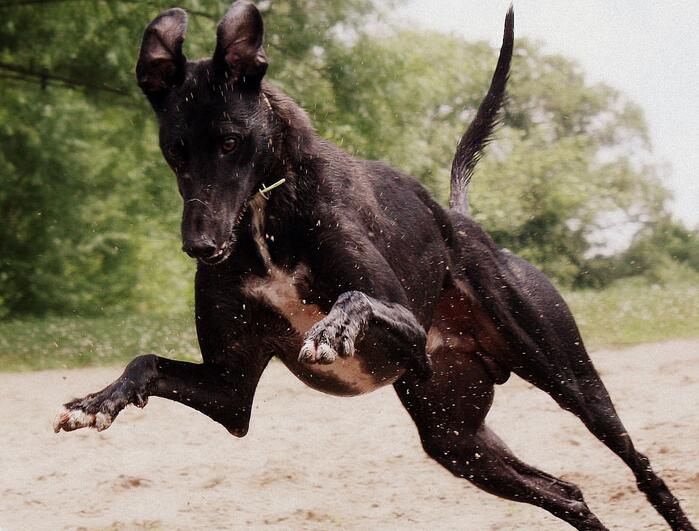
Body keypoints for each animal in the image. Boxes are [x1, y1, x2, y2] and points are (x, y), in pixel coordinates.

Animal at [54, 3, 695, 529]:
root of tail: (463, 223)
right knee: (569, 493)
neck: (266, 216)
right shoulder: (229, 394)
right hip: (455, 439)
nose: (202, 246)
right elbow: (146, 362)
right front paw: (99, 402)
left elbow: (355, 298)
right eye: (175, 150)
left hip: (568, 378)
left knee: (640, 466)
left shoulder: (405, 324)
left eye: (231, 142)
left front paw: (332, 329)